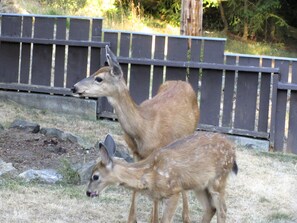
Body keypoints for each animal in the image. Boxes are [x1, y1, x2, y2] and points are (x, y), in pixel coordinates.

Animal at [71, 44, 199, 221]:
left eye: (99, 78)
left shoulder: (158, 153)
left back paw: (186, 215)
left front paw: (154, 218)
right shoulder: (135, 153)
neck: (144, 127)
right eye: (94, 72)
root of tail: (183, 82)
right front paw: (132, 218)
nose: (74, 87)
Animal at [86, 133, 237, 222]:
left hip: (218, 179)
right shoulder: (157, 197)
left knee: (222, 209)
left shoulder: (174, 191)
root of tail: (233, 148)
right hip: (200, 186)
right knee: (210, 208)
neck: (149, 173)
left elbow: (165, 220)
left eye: (95, 176)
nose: (88, 192)